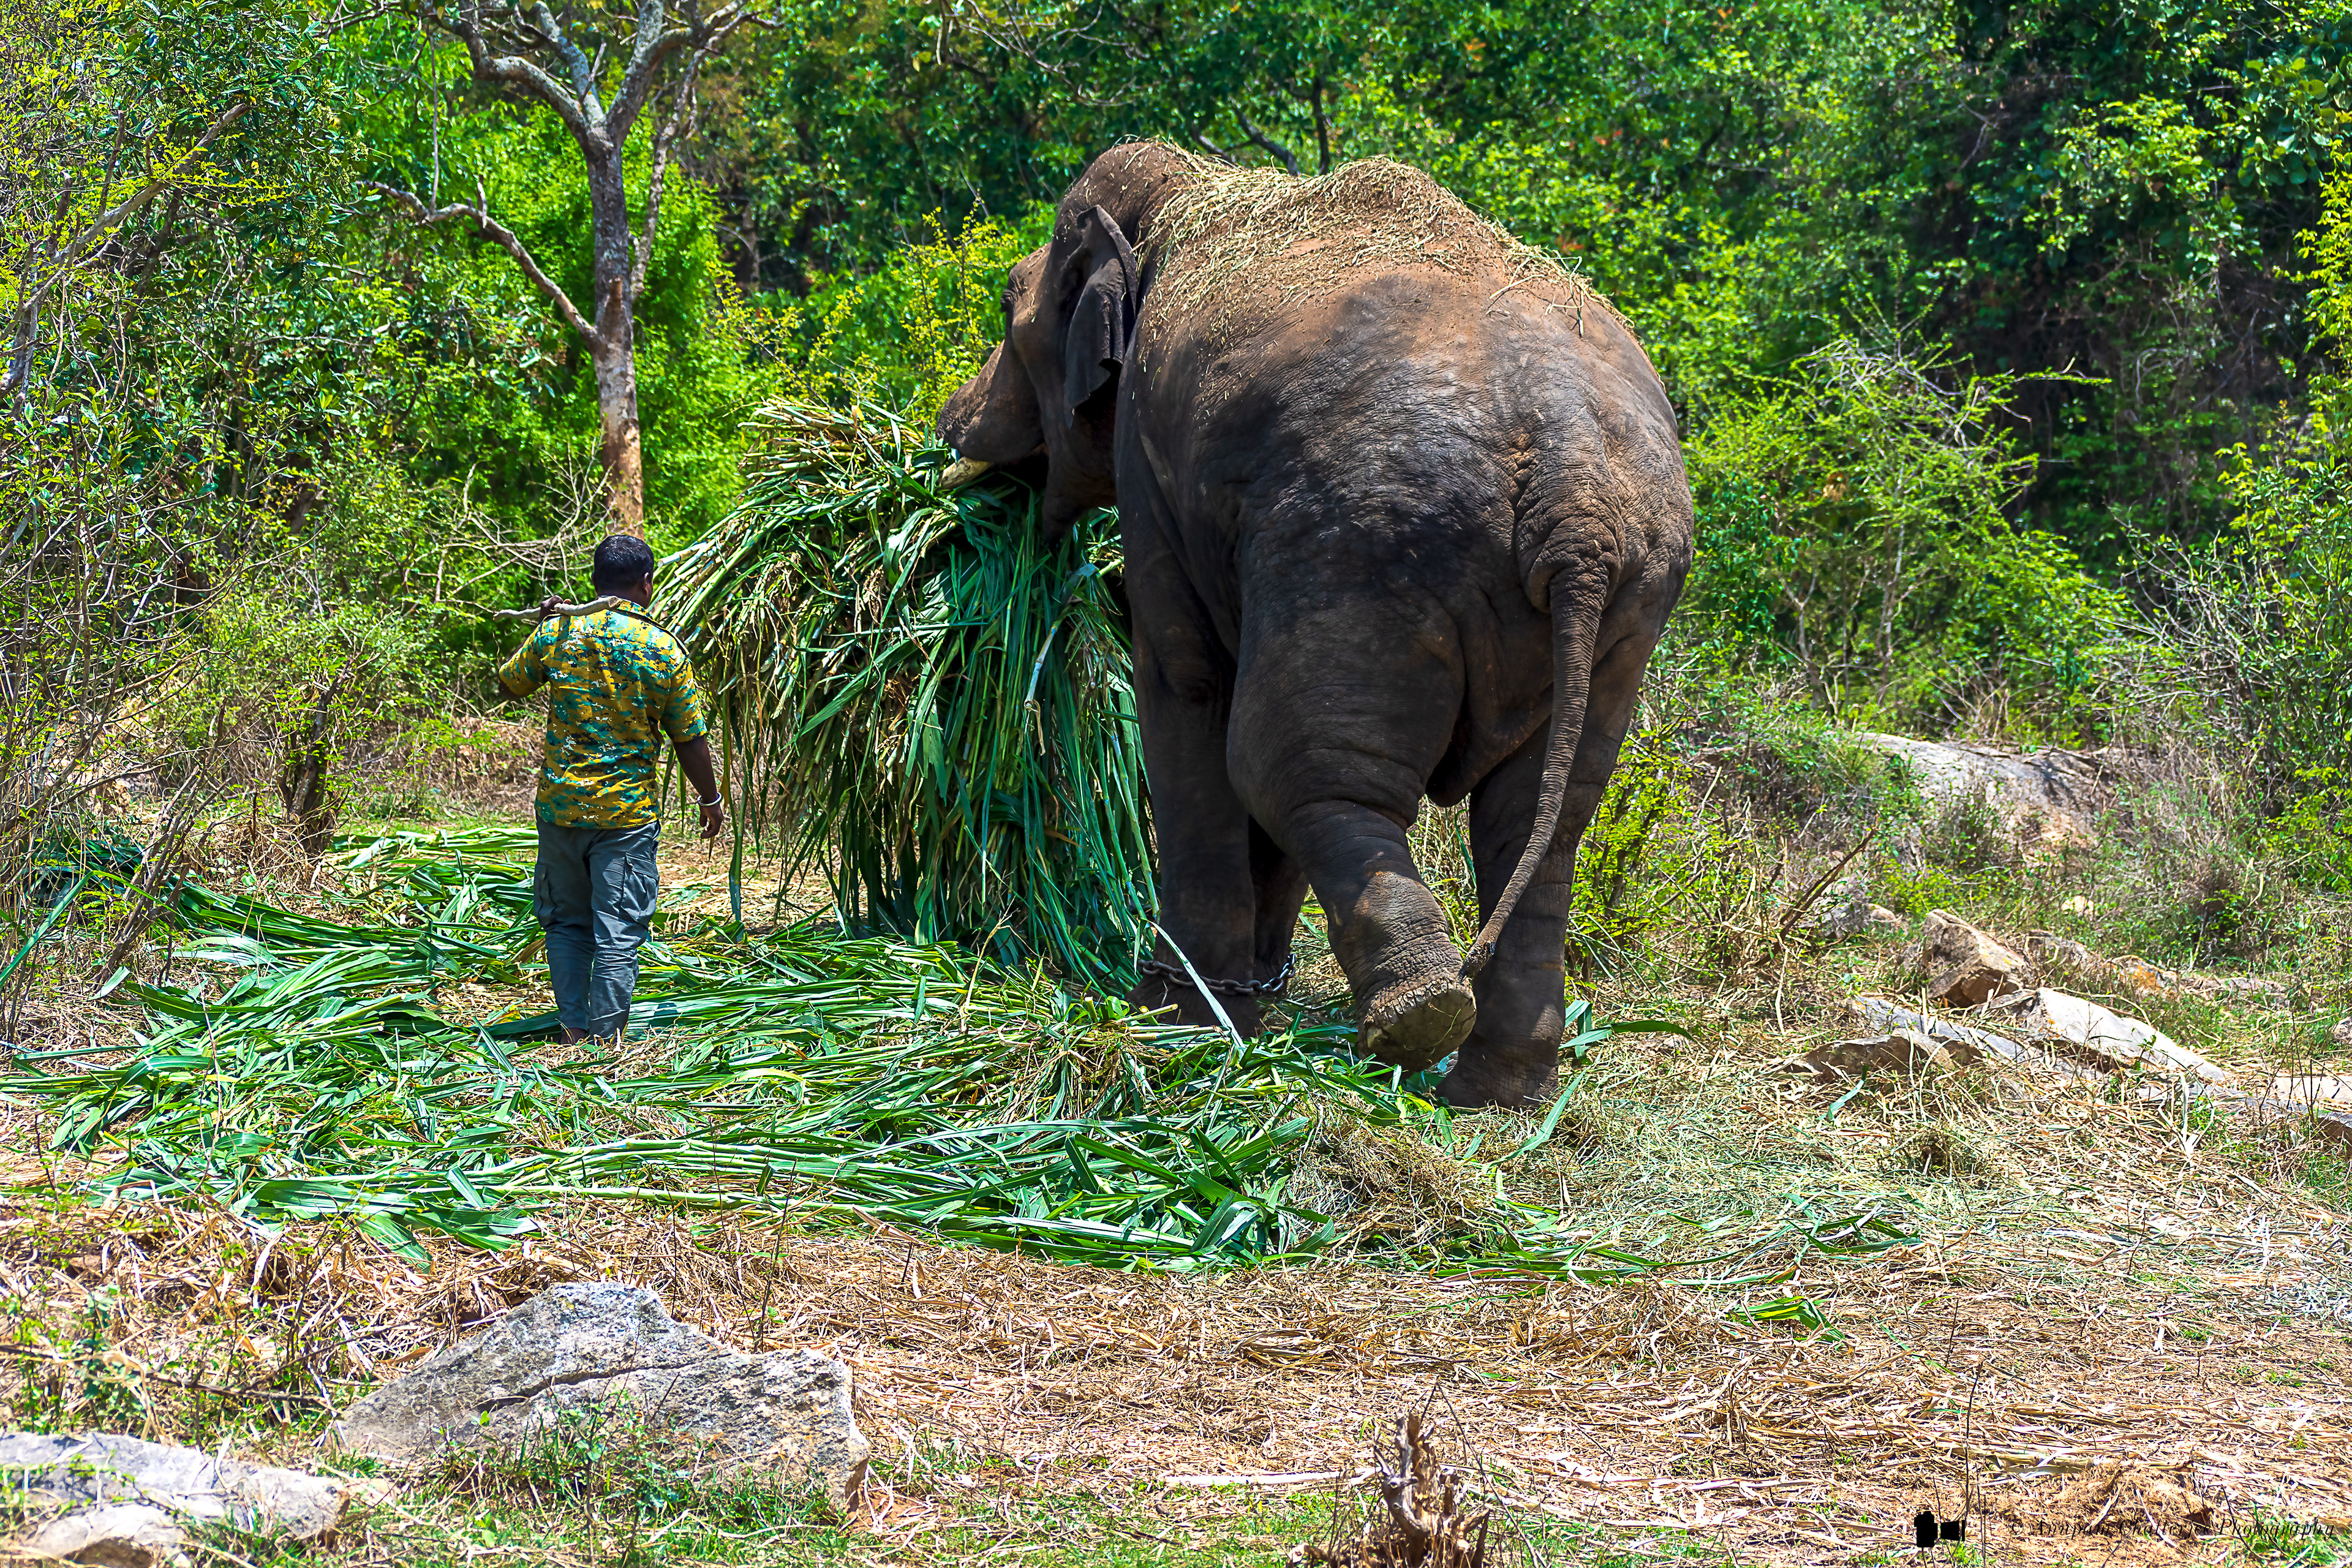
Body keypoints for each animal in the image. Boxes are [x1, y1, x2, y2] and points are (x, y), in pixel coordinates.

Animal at [938, 142, 1693, 1107]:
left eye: (1007, 301)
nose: (945, 427)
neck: (1199, 185)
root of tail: (1578, 506)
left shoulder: (1154, 461)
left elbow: (1184, 684)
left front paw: (1176, 1024)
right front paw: (1244, 1004)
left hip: (1360, 551)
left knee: (1288, 765)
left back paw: (1414, 1020)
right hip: (1624, 609)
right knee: (1535, 821)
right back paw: (1493, 1090)